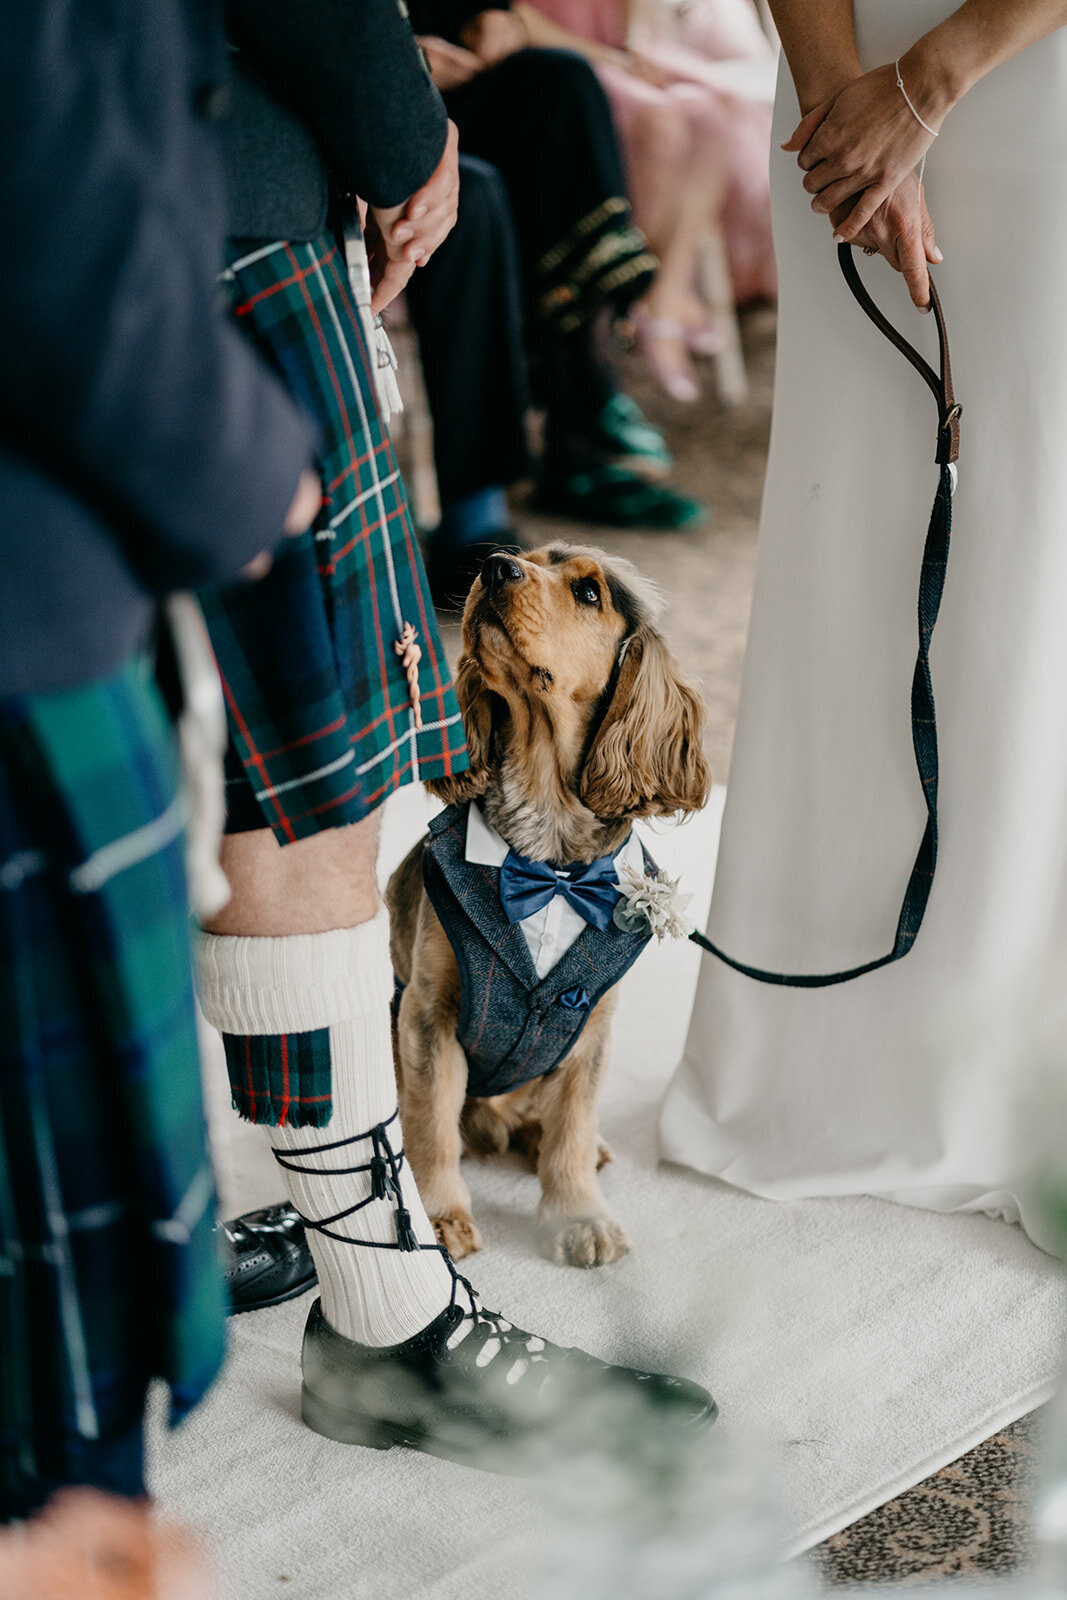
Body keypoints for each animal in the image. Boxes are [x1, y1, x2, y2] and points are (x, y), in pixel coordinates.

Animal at [385, 544, 710, 1267]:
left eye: (589, 592)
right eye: (527, 560)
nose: (494, 567)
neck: (548, 858)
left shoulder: (588, 1024)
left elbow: (571, 1127)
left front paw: (578, 1215)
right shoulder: (427, 1014)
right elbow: (431, 1124)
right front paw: (440, 1217)